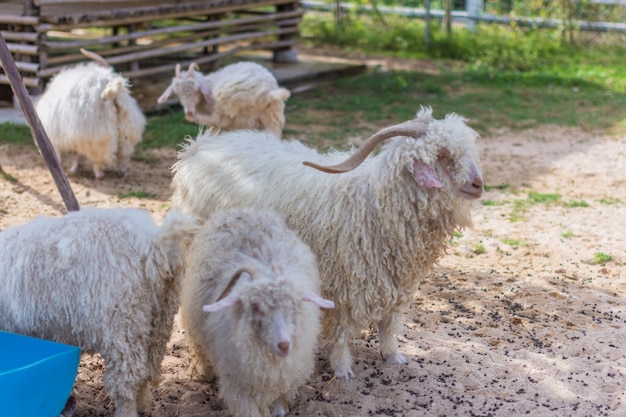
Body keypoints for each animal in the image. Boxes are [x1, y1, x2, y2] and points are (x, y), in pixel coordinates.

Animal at [0, 207, 197, 416]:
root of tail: (154, 242)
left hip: (122, 324)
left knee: (128, 381)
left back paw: (126, 411)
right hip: (158, 321)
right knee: (144, 374)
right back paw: (142, 407)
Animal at [34, 48, 146, 179]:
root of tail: (112, 90)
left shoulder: (57, 138)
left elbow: (63, 155)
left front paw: (70, 169)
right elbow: (77, 154)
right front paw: (75, 168)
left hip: (99, 138)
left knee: (98, 162)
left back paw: (99, 173)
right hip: (125, 133)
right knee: (123, 156)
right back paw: (121, 172)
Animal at [157, 61, 292, 137]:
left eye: (196, 90)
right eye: (177, 93)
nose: (189, 111)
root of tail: (266, 93)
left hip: (227, 104)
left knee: (217, 120)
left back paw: (195, 119)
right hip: (273, 117)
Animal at [171, 105, 482, 378]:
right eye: (442, 154)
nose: (478, 185)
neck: (375, 202)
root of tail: (196, 148)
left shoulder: (397, 280)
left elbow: (388, 322)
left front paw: (393, 357)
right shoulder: (346, 282)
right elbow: (344, 329)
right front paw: (343, 369)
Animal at [179, 208, 334, 416]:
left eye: (293, 305)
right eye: (256, 306)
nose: (284, 345)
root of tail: (241, 210)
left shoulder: (285, 380)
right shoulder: (240, 388)